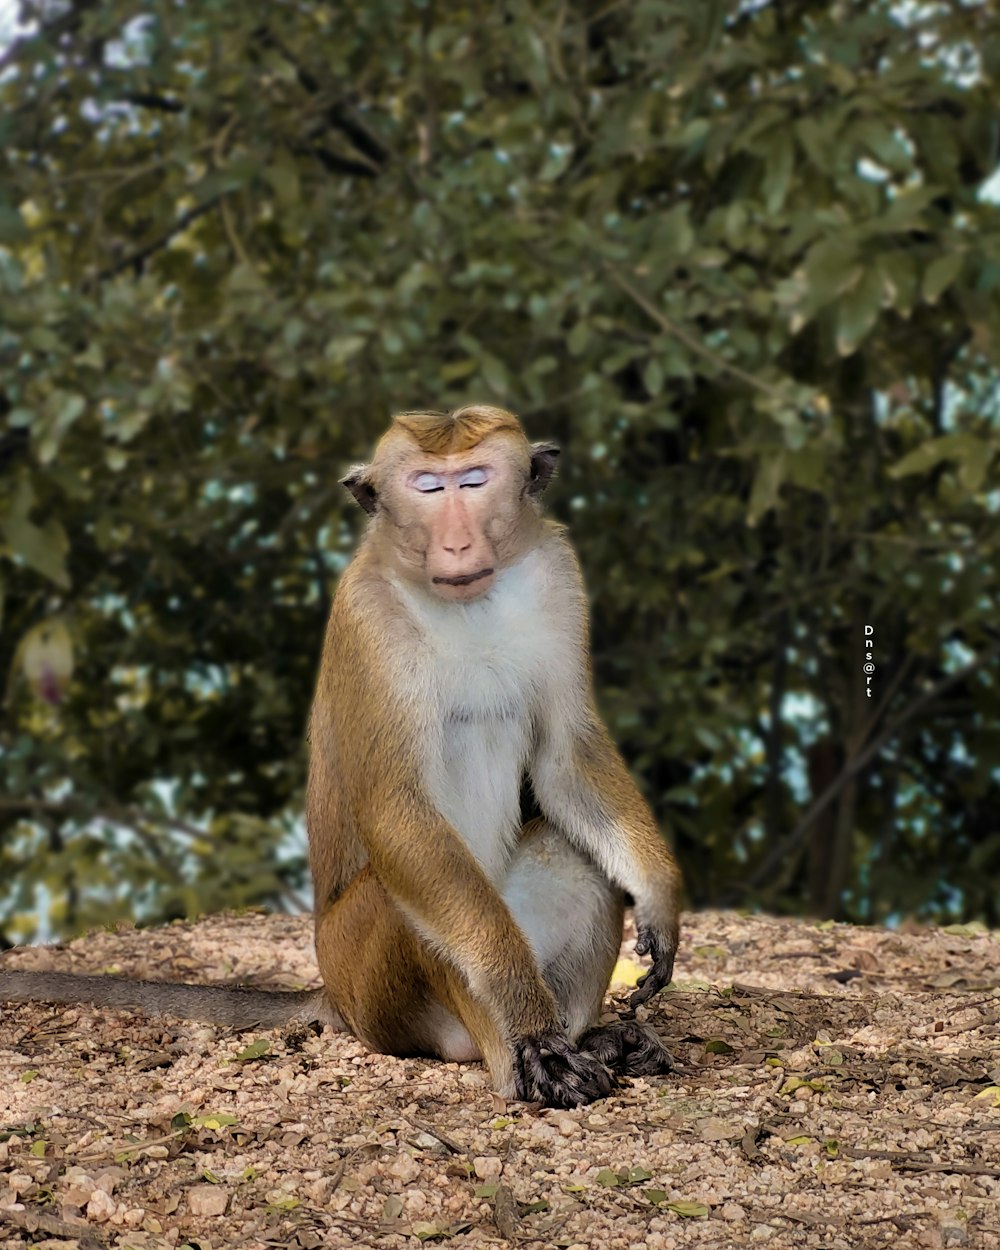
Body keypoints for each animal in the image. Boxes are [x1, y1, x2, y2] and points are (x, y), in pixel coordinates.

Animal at [0, 407, 680, 1115]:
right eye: (427, 487)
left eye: (474, 480)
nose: (457, 545)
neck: (472, 607)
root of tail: (335, 996)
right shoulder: (367, 618)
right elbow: (394, 811)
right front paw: (521, 1017)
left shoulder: (557, 578)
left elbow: (565, 757)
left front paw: (660, 898)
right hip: (369, 981)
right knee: (407, 881)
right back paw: (521, 1048)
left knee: (573, 856)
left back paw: (591, 1037)